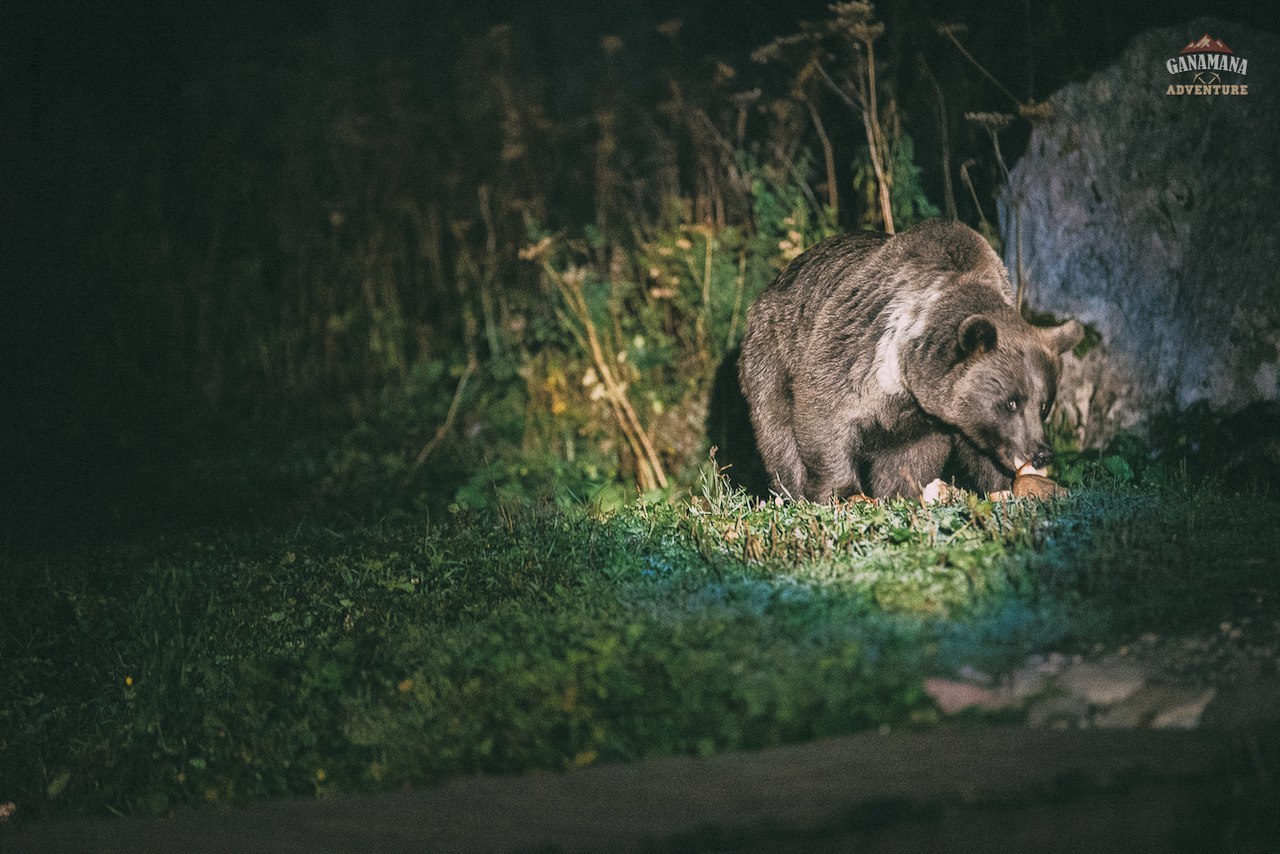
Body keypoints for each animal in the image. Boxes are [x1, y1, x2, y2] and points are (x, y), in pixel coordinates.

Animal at [742, 218, 1080, 501]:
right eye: (1010, 402)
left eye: (1045, 405)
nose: (1042, 453)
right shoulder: (859, 348)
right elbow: (823, 412)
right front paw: (842, 492)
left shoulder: (924, 421)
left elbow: (914, 461)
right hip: (770, 352)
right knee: (778, 433)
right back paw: (789, 490)